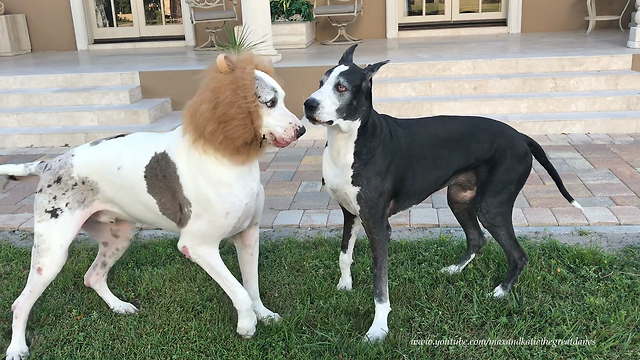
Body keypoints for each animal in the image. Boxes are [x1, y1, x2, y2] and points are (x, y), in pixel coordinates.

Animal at [1, 53, 304, 360]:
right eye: (270, 102)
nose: (302, 129)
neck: (225, 156)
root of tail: (49, 164)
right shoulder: (199, 247)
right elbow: (239, 290)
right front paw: (247, 324)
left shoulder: (248, 236)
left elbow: (251, 285)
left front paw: (263, 314)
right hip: (52, 254)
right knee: (20, 303)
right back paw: (17, 348)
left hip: (118, 239)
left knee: (92, 276)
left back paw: (119, 306)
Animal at [304, 45, 580, 340]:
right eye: (320, 83)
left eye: (341, 87)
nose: (308, 104)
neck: (350, 140)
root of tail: (521, 136)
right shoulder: (350, 213)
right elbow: (344, 255)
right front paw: (345, 286)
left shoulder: (378, 226)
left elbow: (380, 284)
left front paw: (378, 328)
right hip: (459, 198)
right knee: (477, 239)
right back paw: (455, 269)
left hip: (491, 206)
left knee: (518, 255)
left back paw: (500, 292)